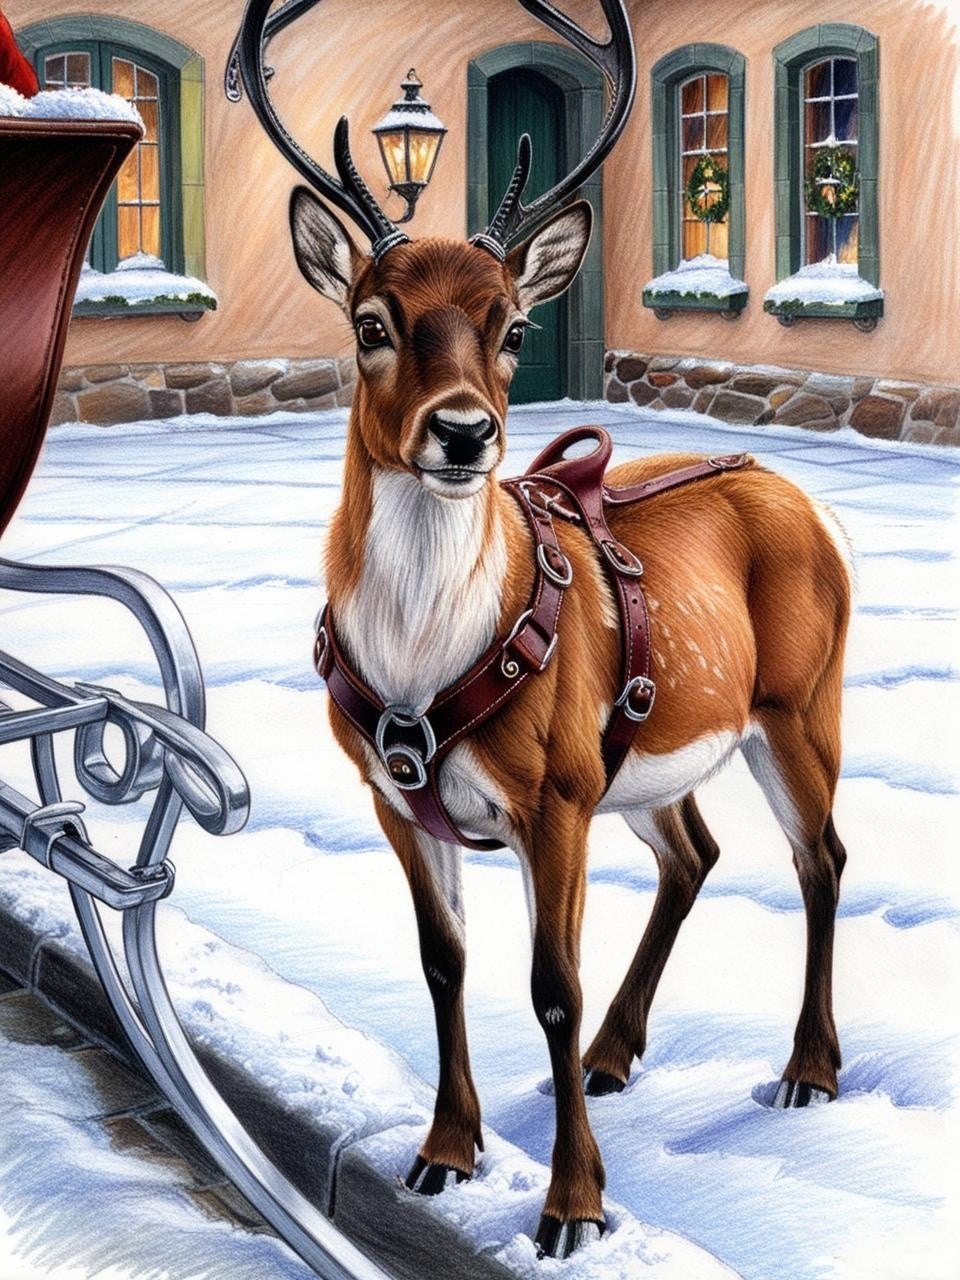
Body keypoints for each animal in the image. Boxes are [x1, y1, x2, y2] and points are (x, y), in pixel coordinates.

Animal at [234, 0, 851, 1259]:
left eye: (514, 325)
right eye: (371, 321)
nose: (464, 432)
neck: (419, 660)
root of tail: (793, 491)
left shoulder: (554, 789)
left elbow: (549, 983)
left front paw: (573, 1207)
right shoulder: (395, 794)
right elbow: (444, 963)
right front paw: (444, 1152)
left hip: (799, 702)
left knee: (821, 857)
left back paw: (808, 1068)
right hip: (657, 754)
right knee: (697, 851)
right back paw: (621, 1054)